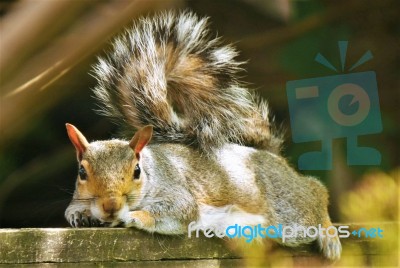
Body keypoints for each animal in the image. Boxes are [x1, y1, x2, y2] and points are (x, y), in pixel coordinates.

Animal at [65, 11, 340, 260]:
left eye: (136, 171)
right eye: (81, 173)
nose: (111, 206)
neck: (153, 172)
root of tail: (270, 157)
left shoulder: (177, 193)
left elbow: (178, 211)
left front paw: (131, 215)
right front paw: (79, 214)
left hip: (288, 213)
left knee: (315, 193)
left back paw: (329, 235)